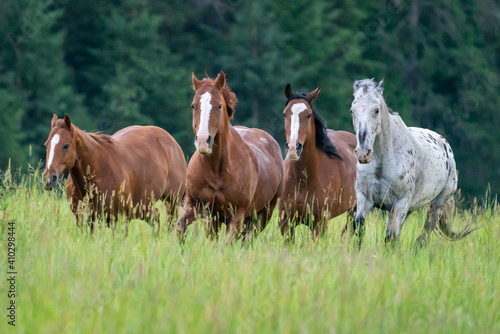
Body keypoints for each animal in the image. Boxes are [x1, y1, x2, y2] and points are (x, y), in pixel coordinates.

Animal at [42, 113, 187, 231]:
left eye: (66, 145)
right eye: (46, 144)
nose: (48, 178)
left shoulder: (120, 220)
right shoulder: (84, 220)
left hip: (171, 202)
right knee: (155, 218)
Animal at [176, 72, 286, 241]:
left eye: (219, 105)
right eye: (193, 105)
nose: (203, 141)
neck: (217, 170)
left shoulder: (237, 216)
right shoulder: (198, 206)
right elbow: (181, 227)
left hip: (263, 215)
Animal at [280, 83, 358, 240]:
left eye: (309, 115)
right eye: (285, 114)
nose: (293, 147)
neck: (302, 180)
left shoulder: (319, 225)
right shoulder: (286, 224)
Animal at [350, 79, 474, 245]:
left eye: (376, 110)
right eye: (352, 110)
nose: (363, 153)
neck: (383, 160)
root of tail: (446, 145)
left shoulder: (401, 202)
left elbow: (391, 237)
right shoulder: (365, 197)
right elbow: (359, 227)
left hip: (436, 205)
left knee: (424, 235)